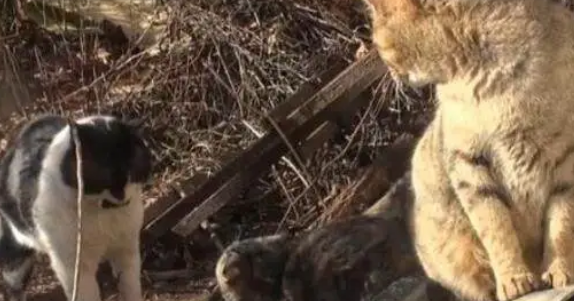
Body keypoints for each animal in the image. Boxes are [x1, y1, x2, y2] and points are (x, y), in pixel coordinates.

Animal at [0, 113, 153, 298]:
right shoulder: (73, 267)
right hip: (16, 252)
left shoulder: (126, 249)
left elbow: (130, 287)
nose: (120, 194)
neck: (102, 212)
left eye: (131, 172)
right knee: (12, 283)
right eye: (102, 176)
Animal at [364, 0, 574, 300]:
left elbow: (561, 223)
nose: (389, 74)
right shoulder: (469, 166)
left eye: (378, 44)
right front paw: (513, 279)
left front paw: (560, 269)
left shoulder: (566, 156)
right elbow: (495, 228)